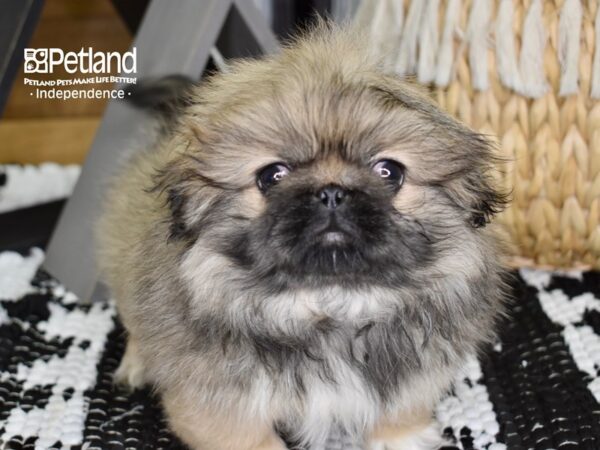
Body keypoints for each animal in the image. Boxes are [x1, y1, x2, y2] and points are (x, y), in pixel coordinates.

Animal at [96, 23, 508, 450]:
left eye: (389, 172)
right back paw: (136, 362)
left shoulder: (416, 375)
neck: (331, 309)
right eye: (271, 176)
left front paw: (401, 439)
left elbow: (400, 412)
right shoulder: (219, 406)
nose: (331, 193)